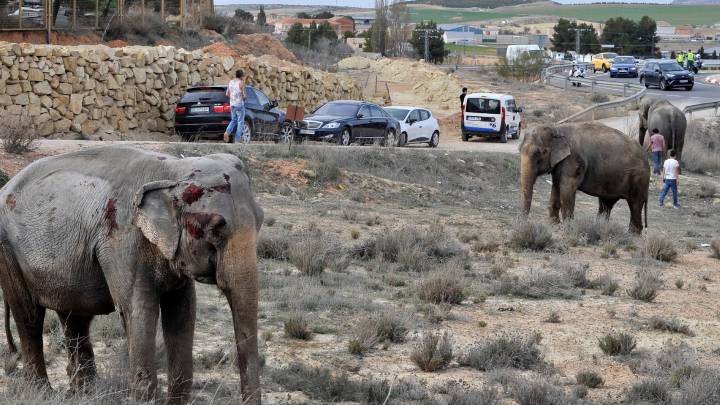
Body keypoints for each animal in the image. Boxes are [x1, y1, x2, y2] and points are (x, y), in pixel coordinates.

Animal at [0, 146, 264, 404]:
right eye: (214, 229)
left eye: (261, 220)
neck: (172, 170)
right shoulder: (122, 240)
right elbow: (139, 310)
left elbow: (183, 309)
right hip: (8, 251)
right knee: (29, 315)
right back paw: (42, 393)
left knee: (75, 317)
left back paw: (82, 394)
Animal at [520, 121, 648, 232]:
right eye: (519, 150)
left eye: (539, 153)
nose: (525, 224)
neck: (557, 128)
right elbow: (556, 186)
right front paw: (554, 225)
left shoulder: (573, 161)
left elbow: (567, 189)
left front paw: (568, 228)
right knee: (606, 204)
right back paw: (601, 228)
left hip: (638, 179)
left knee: (635, 205)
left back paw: (633, 235)